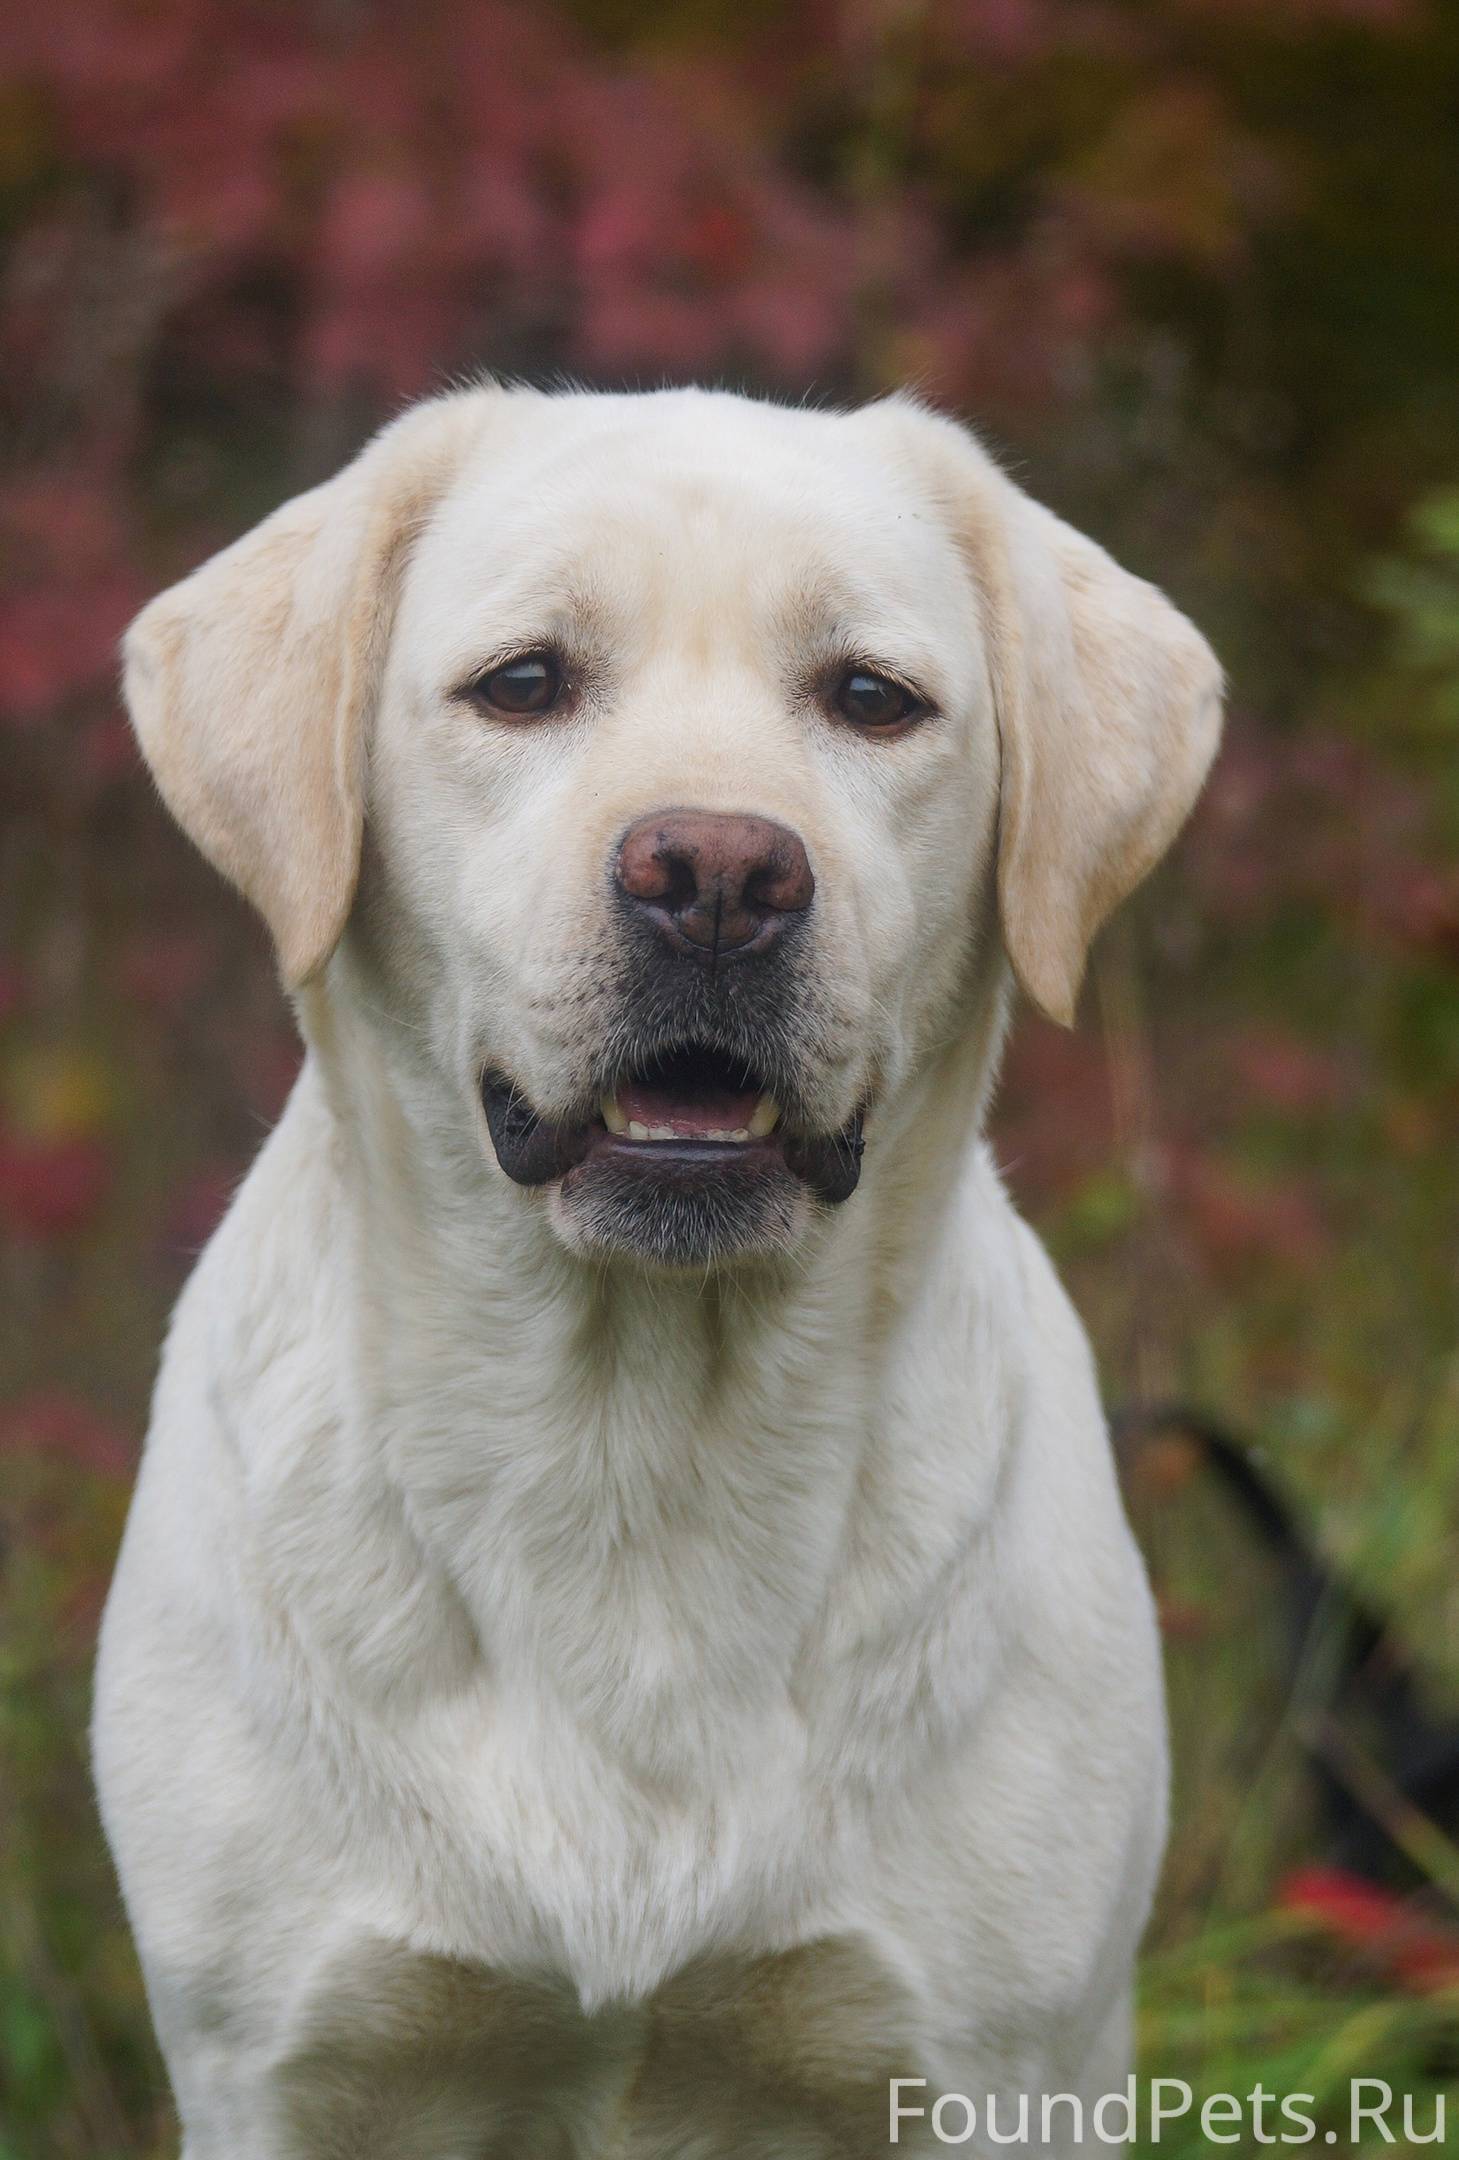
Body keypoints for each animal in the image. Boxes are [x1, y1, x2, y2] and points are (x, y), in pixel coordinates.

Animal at [93, 384, 1222, 2157]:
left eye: (870, 698)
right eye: (524, 683)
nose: (714, 876)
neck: (636, 1451)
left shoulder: (992, 2067)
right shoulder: (280, 2068)